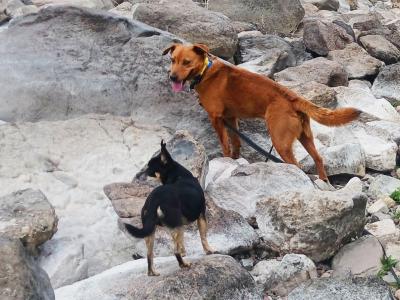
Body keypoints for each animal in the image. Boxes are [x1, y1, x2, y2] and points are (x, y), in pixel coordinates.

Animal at [124, 141, 212, 276]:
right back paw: (184, 264)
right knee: (174, 251)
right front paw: (209, 251)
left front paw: (185, 252)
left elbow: (182, 243)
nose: (137, 175)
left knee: (149, 255)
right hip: (178, 226)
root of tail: (155, 199)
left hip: (151, 232)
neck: (178, 176)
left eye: (149, 168)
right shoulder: (202, 215)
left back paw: (153, 272)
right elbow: (203, 237)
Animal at [162, 43, 360, 182]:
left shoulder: (216, 118)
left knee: (296, 166)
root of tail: (293, 97)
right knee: (318, 158)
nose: (172, 77)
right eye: (172, 60)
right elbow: (236, 143)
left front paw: (225, 159)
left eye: (186, 62)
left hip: (280, 142)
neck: (205, 71)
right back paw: (324, 181)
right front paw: (235, 160)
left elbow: (225, 144)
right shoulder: (231, 118)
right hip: (305, 137)